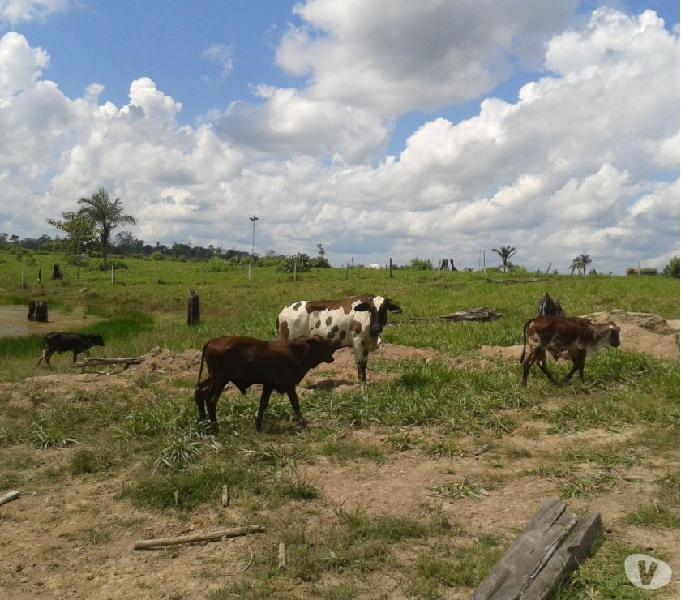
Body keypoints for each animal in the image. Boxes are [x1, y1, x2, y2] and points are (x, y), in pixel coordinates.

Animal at [193, 338, 334, 432]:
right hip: (220, 380)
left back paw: (202, 421)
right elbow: (295, 403)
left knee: (199, 391)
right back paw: (215, 428)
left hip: (213, 378)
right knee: (210, 399)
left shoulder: (268, 385)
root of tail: (211, 341)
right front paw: (303, 424)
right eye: (323, 344)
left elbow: (263, 403)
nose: (332, 357)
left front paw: (259, 425)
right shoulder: (289, 385)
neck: (297, 352)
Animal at [274, 296, 402, 384]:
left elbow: (364, 364)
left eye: (384, 309)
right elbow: (360, 363)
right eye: (371, 309)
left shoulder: (365, 344)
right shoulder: (358, 340)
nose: (377, 327)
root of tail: (283, 311)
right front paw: (361, 385)